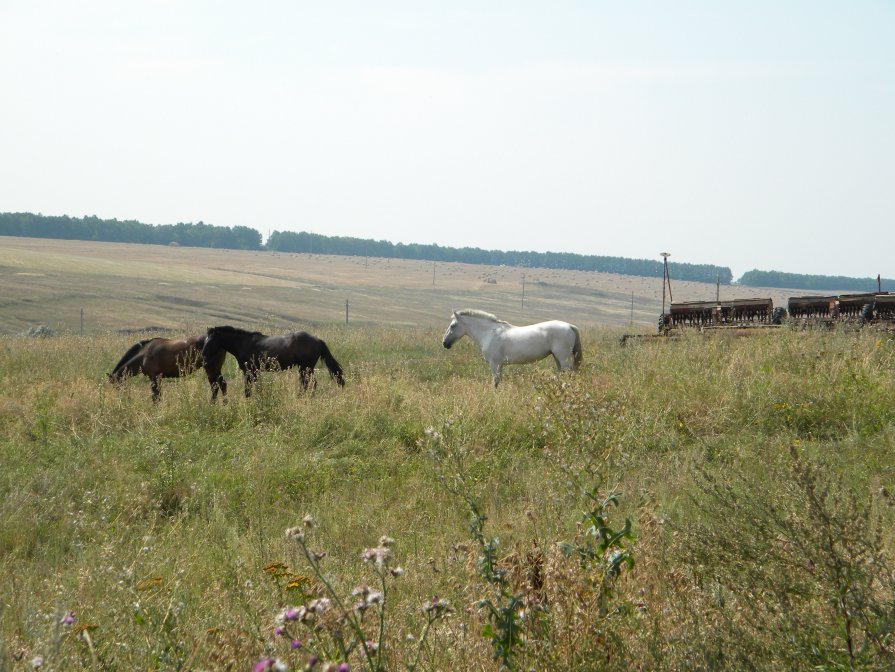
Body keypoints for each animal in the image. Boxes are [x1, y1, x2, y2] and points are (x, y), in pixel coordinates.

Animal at [201, 324, 344, 396]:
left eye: (211, 340)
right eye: (205, 339)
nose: (202, 356)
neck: (243, 343)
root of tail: (317, 340)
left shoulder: (249, 371)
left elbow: (248, 389)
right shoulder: (255, 372)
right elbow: (256, 387)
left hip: (306, 368)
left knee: (311, 383)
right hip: (305, 369)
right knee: (308, 383)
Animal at [442, 308, 584, 386]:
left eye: (453, 325)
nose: (444, 343)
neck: (489, 333)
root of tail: (570, 326)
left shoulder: (495, 364)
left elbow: (495, 382)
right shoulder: (500, 365)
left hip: (563, 358)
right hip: (557, 358)